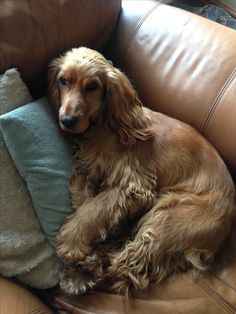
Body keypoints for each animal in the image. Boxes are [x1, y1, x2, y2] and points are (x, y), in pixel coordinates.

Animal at [47, 46, 234, 294]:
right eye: (63, 80)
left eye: (93, 86)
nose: (67, 120)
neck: (105, 127)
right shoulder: (86, 170)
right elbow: (85, 204)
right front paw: (91, 242)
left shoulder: (135, 186)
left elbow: (96, 207)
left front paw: (72, 242)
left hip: (166, 218)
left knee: (128, 268)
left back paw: (84, 273)